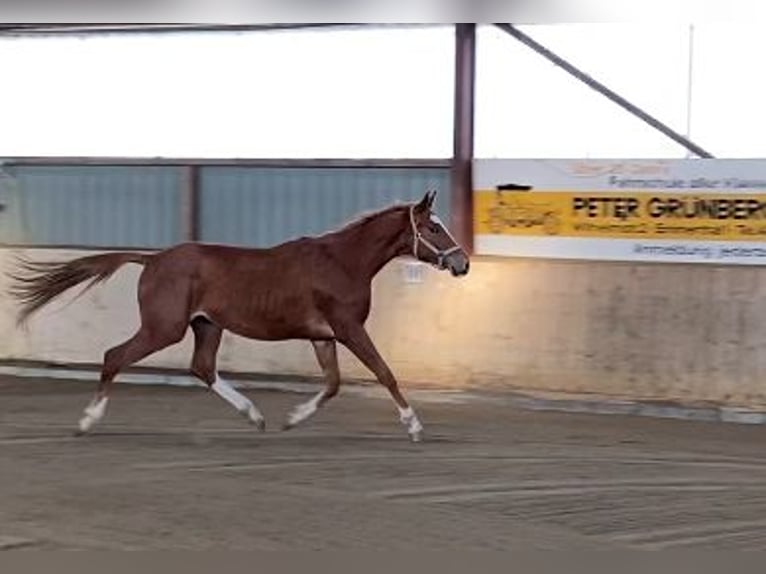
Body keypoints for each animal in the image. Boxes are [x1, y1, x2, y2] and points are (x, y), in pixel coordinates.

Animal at [9, 191, 472, 444]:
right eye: (433, 228)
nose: (462, 263)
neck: (342, 262)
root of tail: (152, 259)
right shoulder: (348, 329)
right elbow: (384, 372)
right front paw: (414, 427)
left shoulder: (323, 336)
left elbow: (333, 384)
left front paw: (291, 419)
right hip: (164, 328)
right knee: (114, 357)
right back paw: (86, 422)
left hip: (206, 325)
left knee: (203, 367)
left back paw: (255, 415)